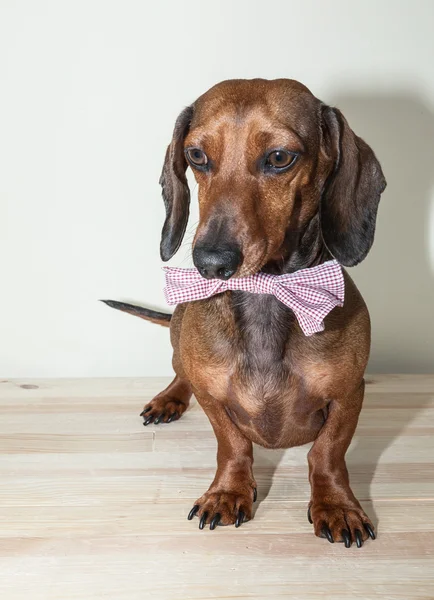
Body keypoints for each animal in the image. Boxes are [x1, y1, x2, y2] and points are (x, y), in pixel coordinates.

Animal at [104, 79, 386, 548]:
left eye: (279, 158)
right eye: (196, 155)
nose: (211, 262)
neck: (265, 294)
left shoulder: (350, 394)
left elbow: (327, 452)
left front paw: (336, 504)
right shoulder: (213, 397)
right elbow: (232, 445)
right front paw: (228, 492)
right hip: (180, 336)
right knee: (180, 371)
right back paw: (167, 399)